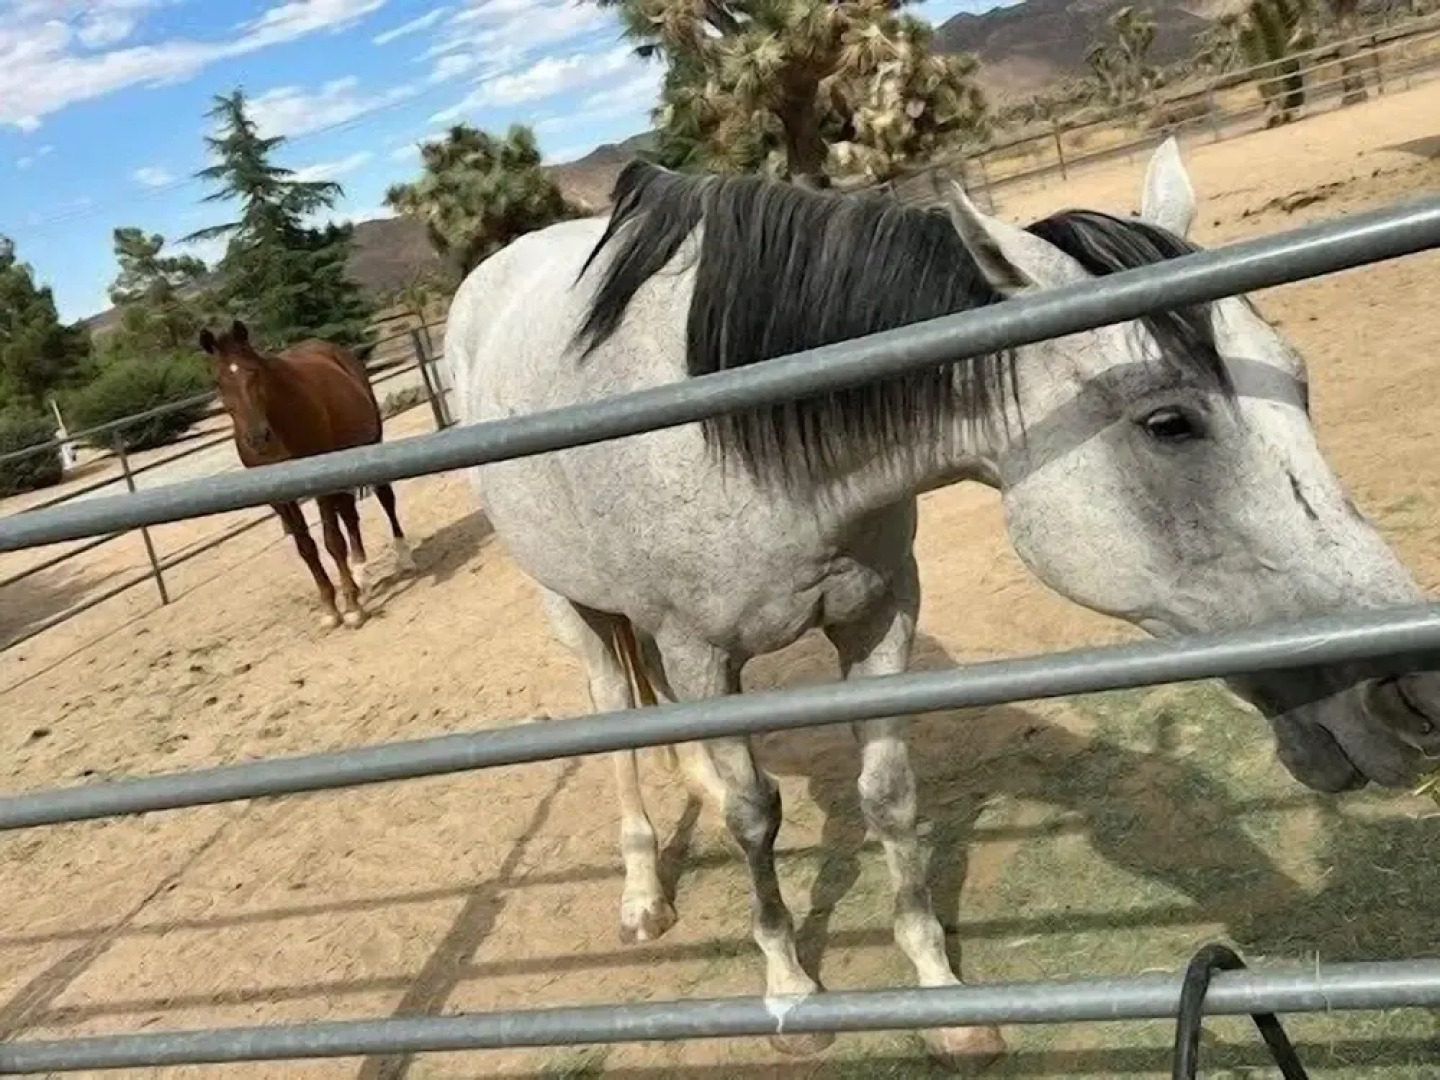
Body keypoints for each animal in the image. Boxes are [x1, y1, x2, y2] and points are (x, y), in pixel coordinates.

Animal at [198, 320, 416, 629]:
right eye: (219, 382)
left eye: (255, 372)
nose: (257, 438)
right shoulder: (280, 499)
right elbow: (306, 548)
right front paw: (330, 609)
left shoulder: (319, 487)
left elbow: (332, 541)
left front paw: (351, 608)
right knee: (349, 515)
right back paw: (361, 573)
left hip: (370, 447)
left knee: (385, 498)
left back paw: (403, 558)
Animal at [440, 138, 1440, 1071]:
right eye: (1167, 423)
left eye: (1298, 379)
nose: (1415, 692)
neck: (744, 435)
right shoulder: (702, 655)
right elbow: (754, 814)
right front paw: (790, 991)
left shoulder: (881, 617)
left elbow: (888, 798)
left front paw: (942, 996)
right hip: (572, 606)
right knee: (615, 716)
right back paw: (645, 895)